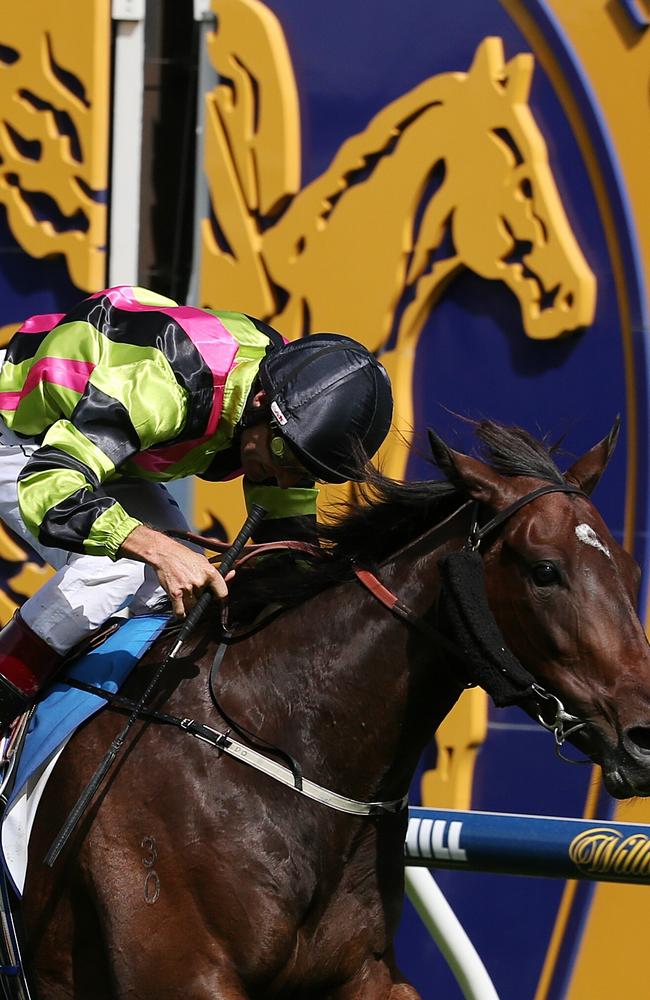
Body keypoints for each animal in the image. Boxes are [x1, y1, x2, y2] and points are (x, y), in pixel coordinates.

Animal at [17, 418, 648, 996]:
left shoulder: (364, 968)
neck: (286, 746)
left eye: (632, 570)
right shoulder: (180, 970)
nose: (643, 737)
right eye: (544, 571)